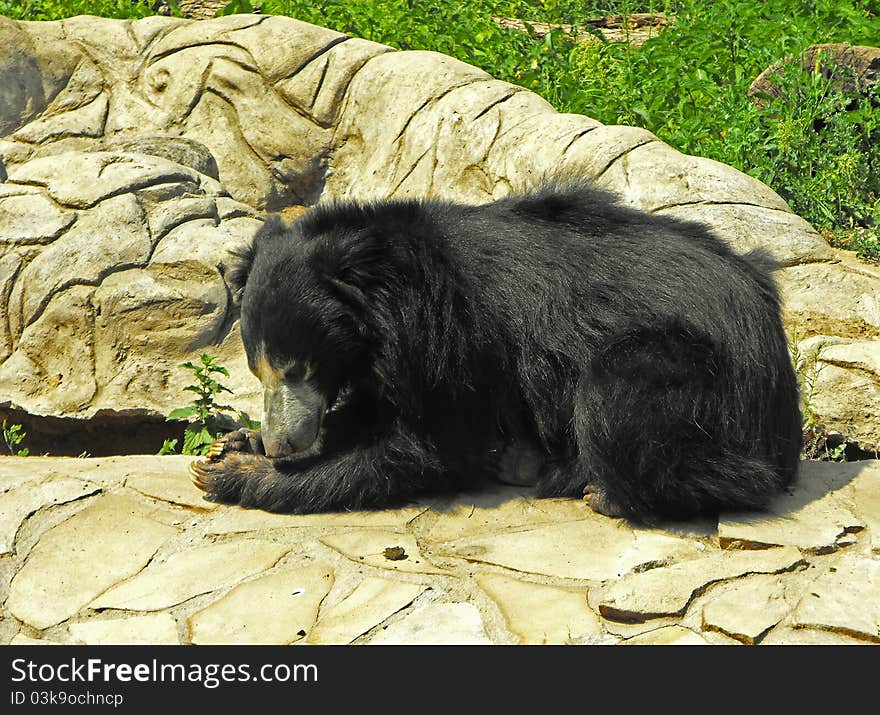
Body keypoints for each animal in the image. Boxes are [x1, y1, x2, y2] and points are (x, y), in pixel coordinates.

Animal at [192, 180, 804, 520]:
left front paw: (238, 473)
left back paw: (600, 490)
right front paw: (231, 444)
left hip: (686, 373)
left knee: (620, 397)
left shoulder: (453, 339)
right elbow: (373, 414)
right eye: (260, 371)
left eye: (297, 369)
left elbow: (426, 447)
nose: (281, 444)